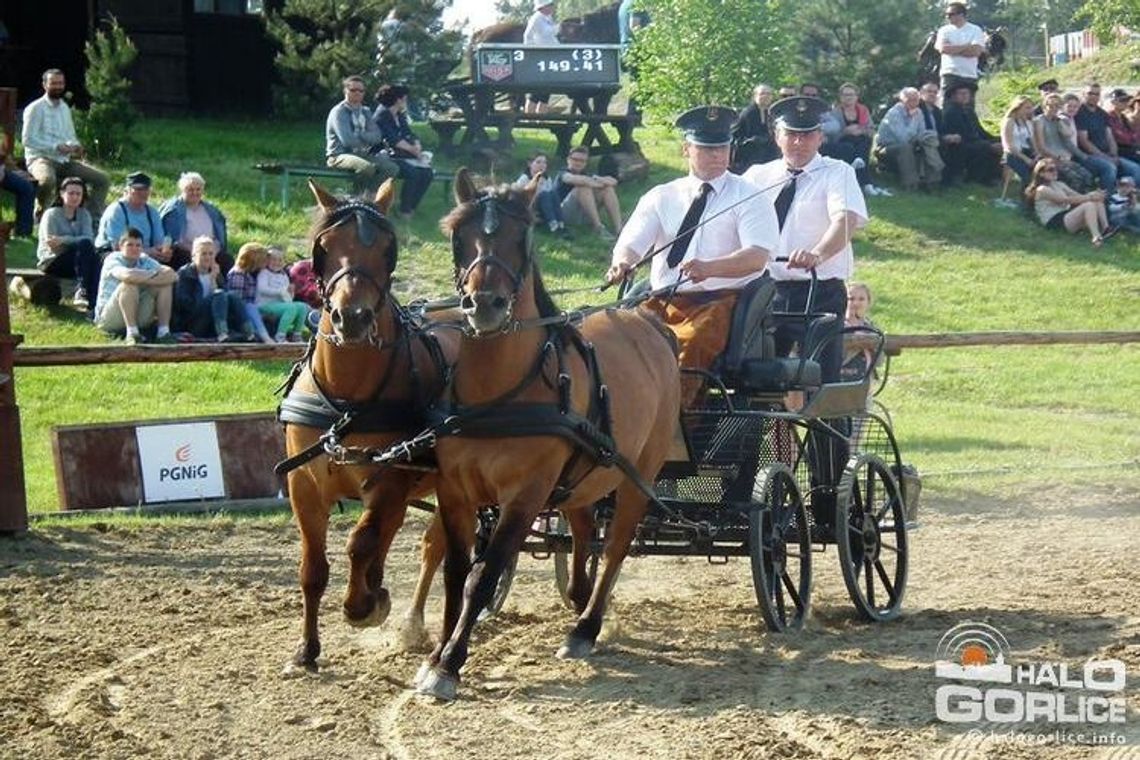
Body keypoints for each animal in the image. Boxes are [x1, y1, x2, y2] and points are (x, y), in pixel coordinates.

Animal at [275, 180, 458, 669]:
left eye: (387, 249)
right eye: (325, 247)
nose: (352, 317)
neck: (346, 397)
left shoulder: (388, 480)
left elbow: (361, 541)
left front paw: (364, 606)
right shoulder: (304, 484)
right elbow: (313, 568)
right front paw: (306, 650)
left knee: (432, 545)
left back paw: (408, 620)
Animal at [419, 170, 684, 701]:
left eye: (521, 237)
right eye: (459, 235)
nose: (485, 304)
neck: (498, 393)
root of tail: (648, 321)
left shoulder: (525, 496)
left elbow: (483, 577)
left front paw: (450, 664)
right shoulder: (454, 491)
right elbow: (456, 573)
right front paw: (437, 654)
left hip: (638, 476)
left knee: (616, 545)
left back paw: (587, 624)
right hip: (586, 472)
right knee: (583, 531)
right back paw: (579, 600)